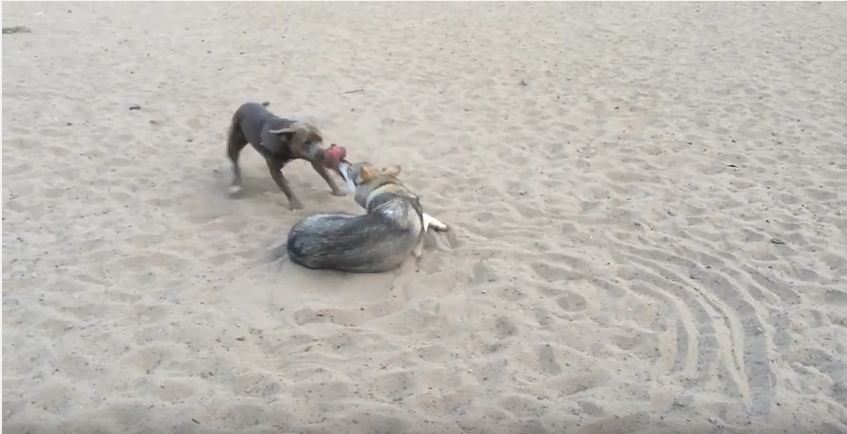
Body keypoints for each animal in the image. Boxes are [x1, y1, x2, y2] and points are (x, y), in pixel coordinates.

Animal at [284, 161, 450, 272]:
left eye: (350, 168)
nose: (342, 160)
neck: (390, 190)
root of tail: (291, 241)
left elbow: (426, 217)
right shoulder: (417, 249)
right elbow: (425, 217)